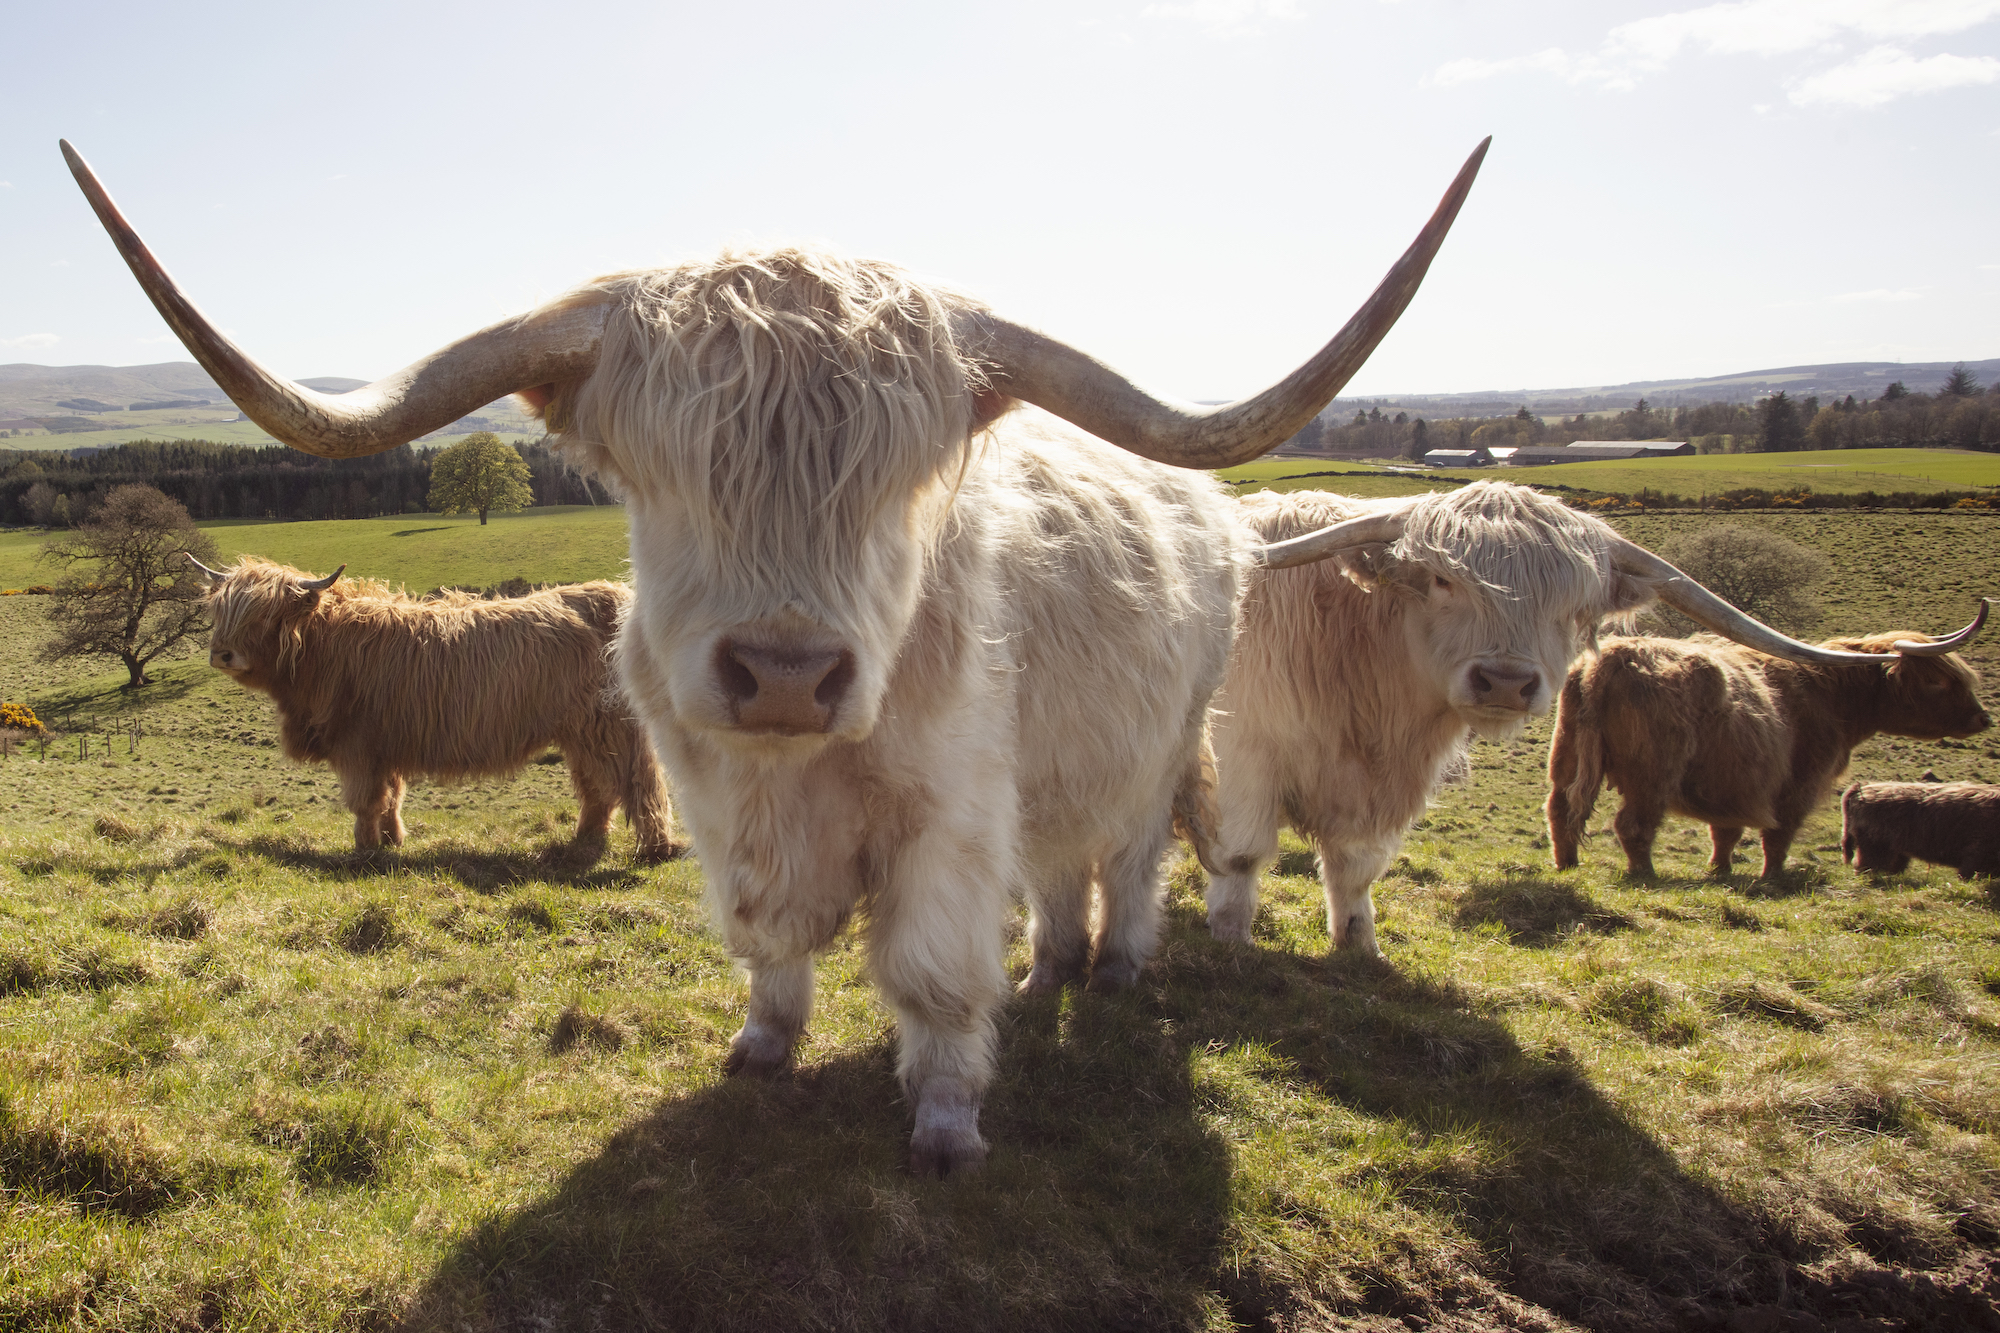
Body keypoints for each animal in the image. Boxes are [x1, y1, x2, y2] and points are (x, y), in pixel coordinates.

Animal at [190, 556, 677, 863]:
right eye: (221, 611)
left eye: (264, 615)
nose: (221, 654)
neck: (324, 648)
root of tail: (608, 597)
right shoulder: (383, 745)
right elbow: (391, 798)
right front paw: (393, 841)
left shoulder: (356, 746)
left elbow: (365, 802)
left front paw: (363, 850)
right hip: (582, 733)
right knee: (598, 788)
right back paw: (583, 843)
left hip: (608, 726)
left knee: (635, 781)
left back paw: (653, 848)